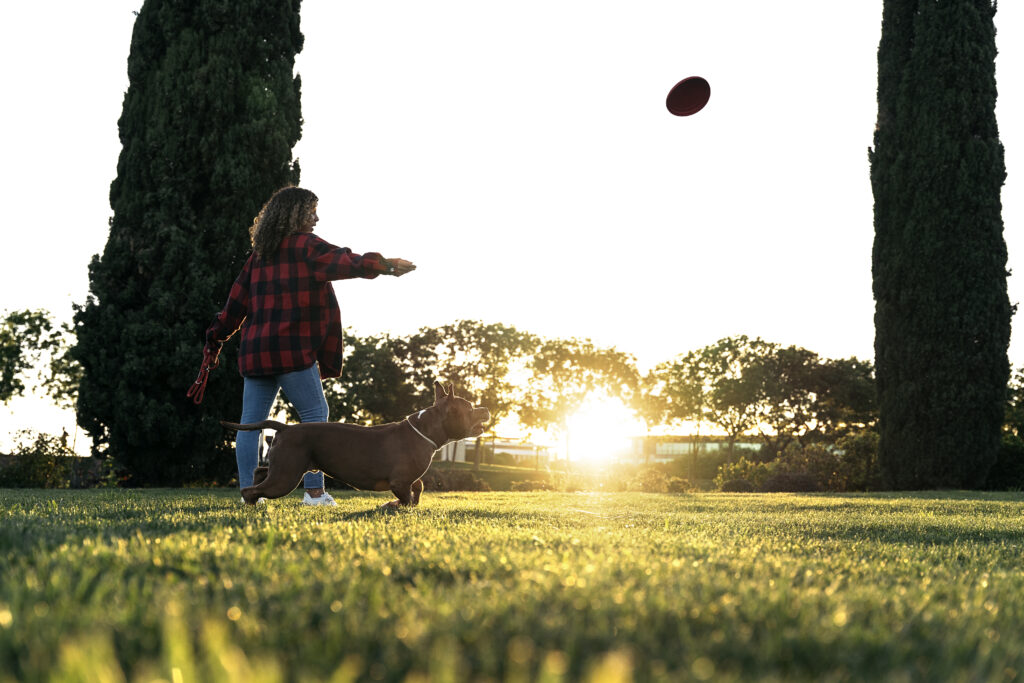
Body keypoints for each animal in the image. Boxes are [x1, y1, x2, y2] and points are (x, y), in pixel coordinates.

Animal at [219, 385, 487, 507]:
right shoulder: (399, 482)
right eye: (470, 408)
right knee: (252, 491)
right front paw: (400, 506)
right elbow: (407, 497)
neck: (426, 429)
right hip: (286, 477)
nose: (485, 408)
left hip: (283, 467)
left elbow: (417, 486)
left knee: (260, 471)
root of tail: (286, 427)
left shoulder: (406, 480)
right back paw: (253, 507)